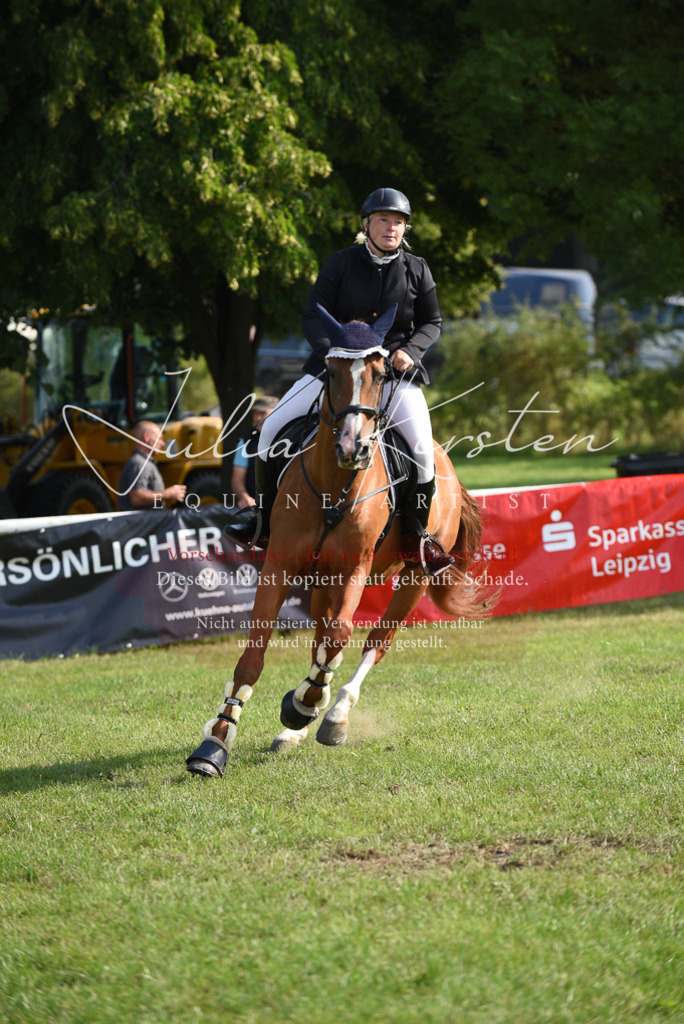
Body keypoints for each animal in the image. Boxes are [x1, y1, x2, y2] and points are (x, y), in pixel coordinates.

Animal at [186, 307, 490, 778]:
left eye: (382, 373)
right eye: (329, 371)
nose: (353, 447)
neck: (334, 483)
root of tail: (448, 466)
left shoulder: (355, 568)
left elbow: (341, 635)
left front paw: (306, 704)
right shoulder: (281, 565)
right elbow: (257, 652)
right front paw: (216, 741)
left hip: (416, 574)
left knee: (373, 642)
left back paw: (332, 713)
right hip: (323, 579)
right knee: (321, 637)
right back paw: (296, 725)